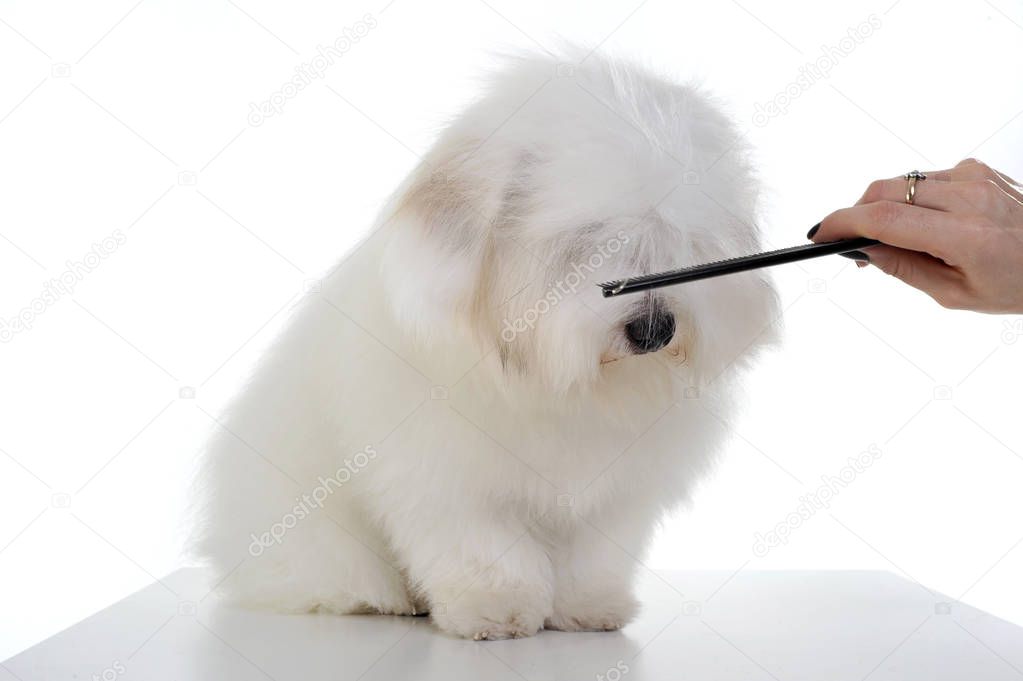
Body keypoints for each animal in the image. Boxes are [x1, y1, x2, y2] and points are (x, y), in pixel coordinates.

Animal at [193, 47, 773, 638]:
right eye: (587, 240)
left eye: (680, 242)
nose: (654, 329)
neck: (555, 385)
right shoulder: (448, 478)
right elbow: (484, 548)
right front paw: (496, 610)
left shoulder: (615, 493)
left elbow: (592, 554)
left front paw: (589, 608)